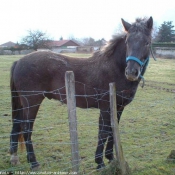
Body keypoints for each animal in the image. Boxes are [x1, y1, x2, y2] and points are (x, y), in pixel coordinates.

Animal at [10, 16, 154, 171]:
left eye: (147, 42)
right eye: (127, 42)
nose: (131, 72)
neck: (114, 68)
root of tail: (19, 61)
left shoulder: (119, 107)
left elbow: (113, 130)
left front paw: (110, 158)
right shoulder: (105, 108)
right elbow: (103, 132)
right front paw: (100, 162)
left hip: (22, 104)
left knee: (17, 125)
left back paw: (14, 157)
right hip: (32, 103)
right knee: (26, 129)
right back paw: (33, 162)